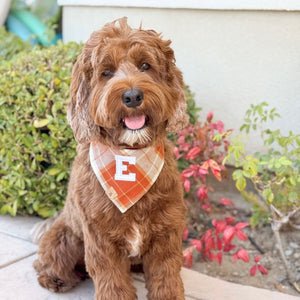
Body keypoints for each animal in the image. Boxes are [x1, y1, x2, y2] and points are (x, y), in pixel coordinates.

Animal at [33, 17, 188, 298]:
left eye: (145, 65)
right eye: (106, 72)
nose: (133, 96)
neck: (130, 157)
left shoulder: (167, 233)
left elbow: (167, 278)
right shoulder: (101, 238)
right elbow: (112, 283)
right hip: (66, 236)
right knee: (49, 259)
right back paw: (57, 279)